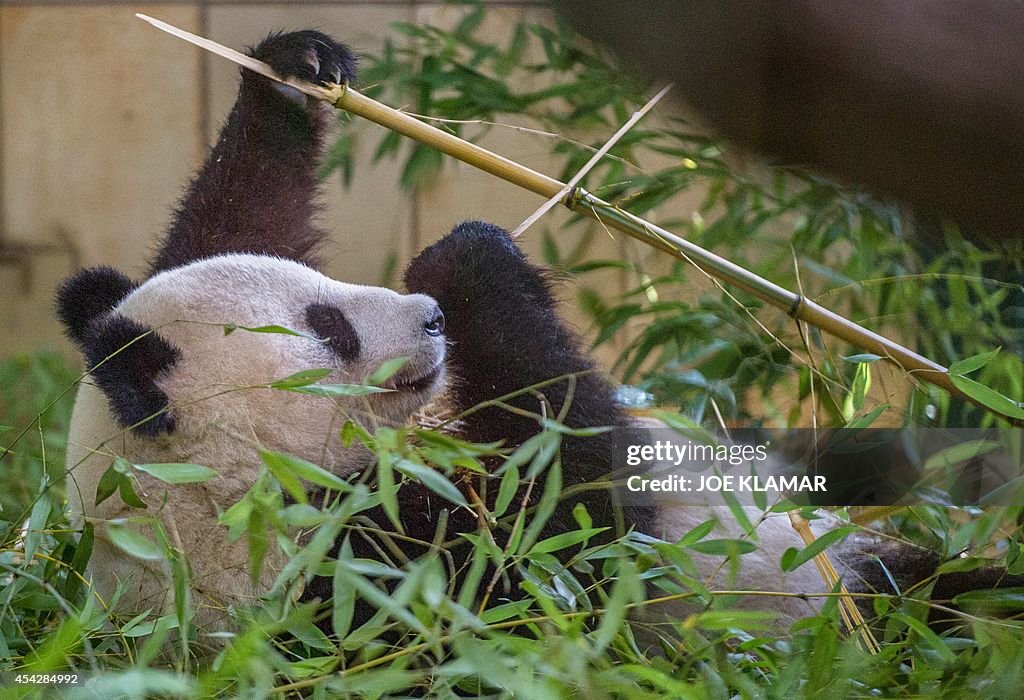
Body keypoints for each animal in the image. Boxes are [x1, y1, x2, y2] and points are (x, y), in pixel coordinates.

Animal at [58, 30, 1024, 638]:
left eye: (319, 294)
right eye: (329, 327)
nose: (430, 317)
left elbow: (223, 224)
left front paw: (293, 70)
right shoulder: (371, 581)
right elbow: (577, 541)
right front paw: (469, 258)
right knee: (939, 610)